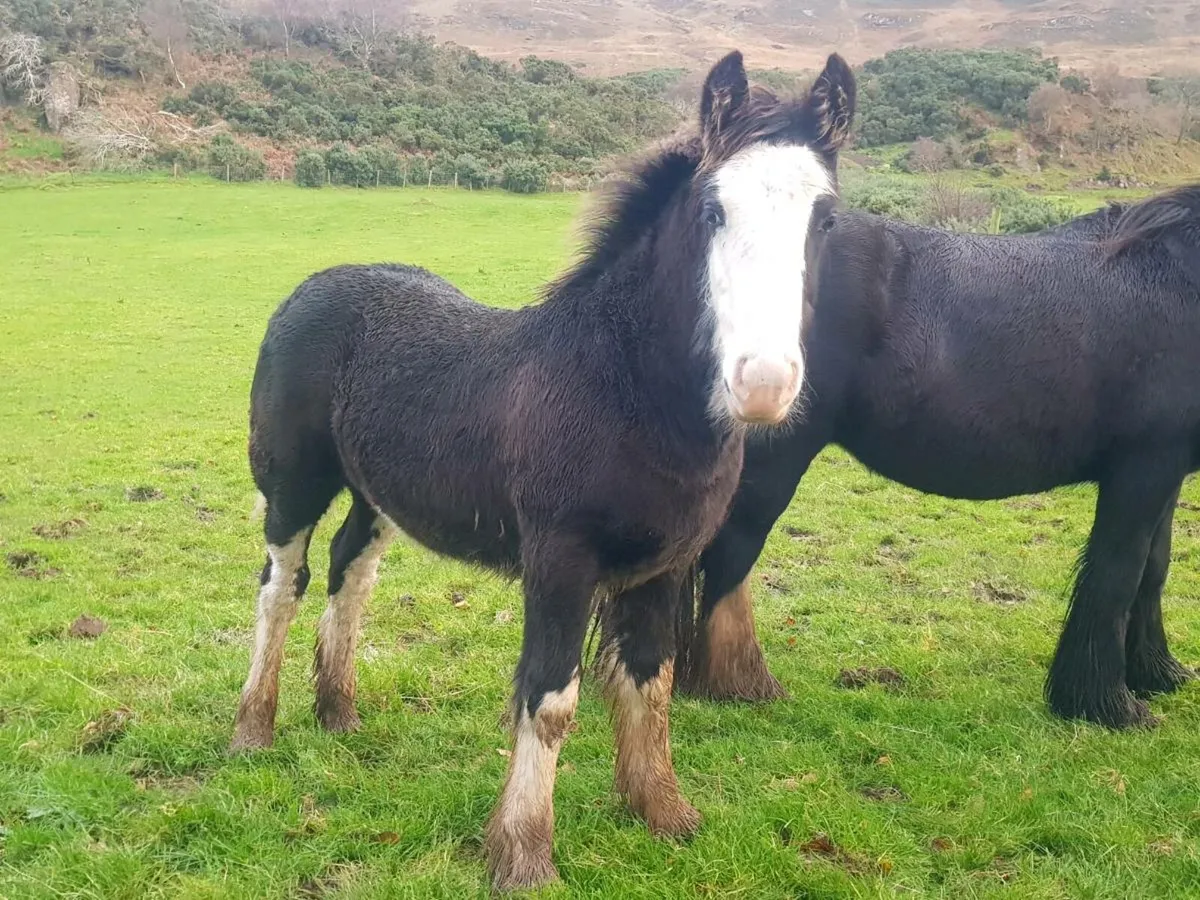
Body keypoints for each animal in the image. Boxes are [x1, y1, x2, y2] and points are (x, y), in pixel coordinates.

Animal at [228, 50, 857, 891]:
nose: (764, 384)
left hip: (379, 494)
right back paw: (253, 728)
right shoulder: (559, 559)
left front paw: (663, 811)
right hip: (292, 481)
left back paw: (338, 713)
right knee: (281, 585)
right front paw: (524, 853)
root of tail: (315, 284)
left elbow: (650, 681)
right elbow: (551, 698)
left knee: (349, 568)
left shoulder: (667, 564)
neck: (620, 387)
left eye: (826, 218)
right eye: (711, 212)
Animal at [675, 185, 1200, 731]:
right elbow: (1120, 572)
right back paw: (733, 683)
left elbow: (1154, 567)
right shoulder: (1141, 470)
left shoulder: (1165, 473)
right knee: (728, 554)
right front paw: (1108, 704)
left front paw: (1157, 673)